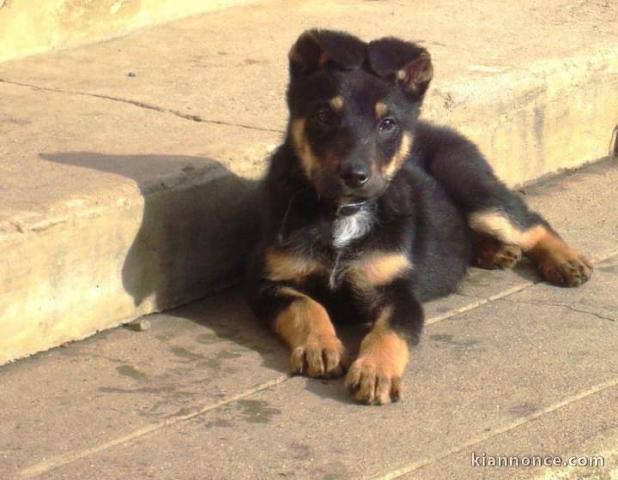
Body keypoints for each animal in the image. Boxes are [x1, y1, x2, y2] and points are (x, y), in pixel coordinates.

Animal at [245, 30, 592, 404]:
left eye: (387, 124)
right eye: (323, 115)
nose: (354, 175)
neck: (342, 213)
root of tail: (437, 128)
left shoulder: (397, 292)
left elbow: (389, 332)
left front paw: (375, 371)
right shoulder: (267, 283)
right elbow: (306, 307)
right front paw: (320, 346)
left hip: (472, 187)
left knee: (529, 221)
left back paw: (565, 260)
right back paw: (494, 251)